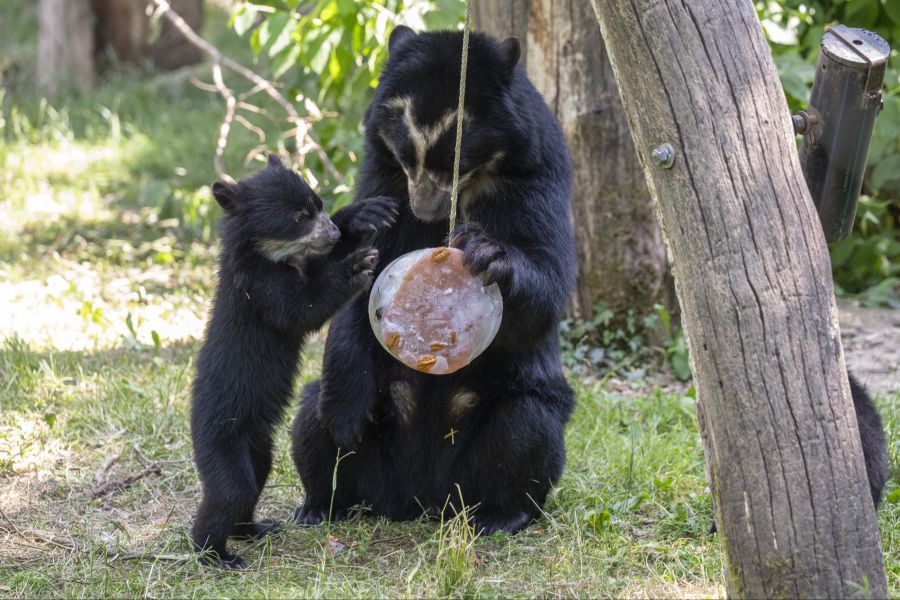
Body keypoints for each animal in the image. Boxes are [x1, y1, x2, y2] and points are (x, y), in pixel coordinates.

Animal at [190, 154, 397, 568]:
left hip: (257, 446)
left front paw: (364, 214)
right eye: (300, 217)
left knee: (255, 480)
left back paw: (255, 528)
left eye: (318, 204)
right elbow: (302, 308)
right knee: (230, 491)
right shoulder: (259, 285)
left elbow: (315, 277)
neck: (268, 254)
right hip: (220, 441)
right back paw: (216, 553)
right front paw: (356, 266)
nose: (331, 231)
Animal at [290, 26, 578, 535]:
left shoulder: (535, 178)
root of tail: (421, 499)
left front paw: (486, 252)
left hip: (501, 433)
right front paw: (346, 420)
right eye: (407, 159)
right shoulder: (381, 177)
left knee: (527, 425)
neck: (475, 182)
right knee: (310, 419)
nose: (423, 209)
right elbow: (355, 287)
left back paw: (500, 515)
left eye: (450, 163)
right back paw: (322, 504)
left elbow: (547, 278)